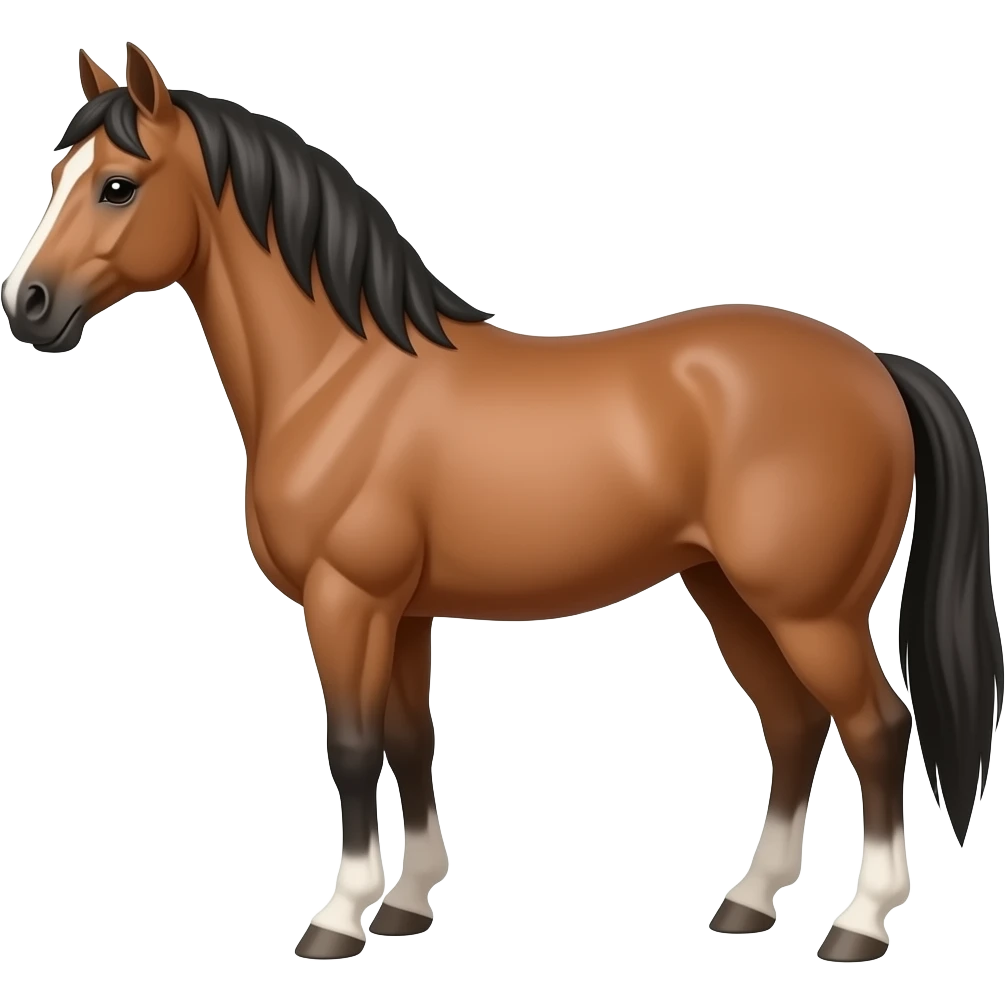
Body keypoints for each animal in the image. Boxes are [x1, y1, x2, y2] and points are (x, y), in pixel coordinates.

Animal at [3, 43, 1001, 965]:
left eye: (119, 187)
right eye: (58, 177)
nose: (29, 305)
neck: (341, 377)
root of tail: (874, 365)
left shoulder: (345, 600)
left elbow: (352, 745)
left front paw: (338, 917)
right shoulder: (402, 611)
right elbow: (411, 739)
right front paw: (407, 902)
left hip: (810, 609)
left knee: (877, 729)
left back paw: (858, 923)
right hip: (731, 594)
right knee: (793, 725)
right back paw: (748, 902)